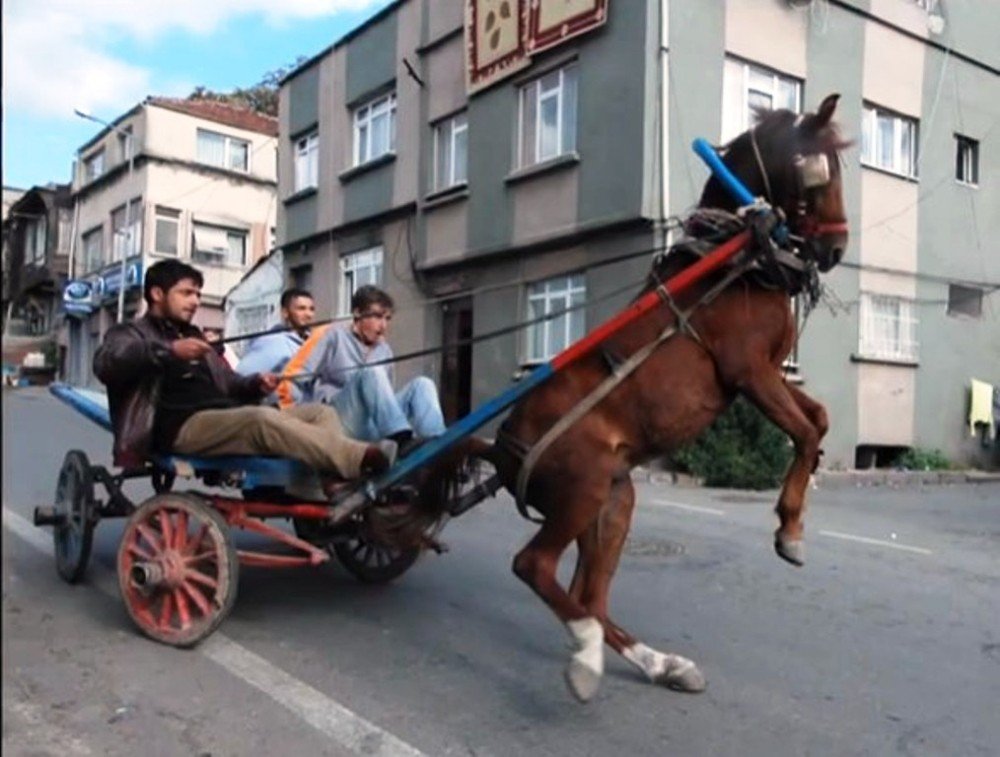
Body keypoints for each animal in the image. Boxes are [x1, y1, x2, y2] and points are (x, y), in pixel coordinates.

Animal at [418, 96, 848, 704]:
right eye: (816, 171)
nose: (835, 248)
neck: (729, 265)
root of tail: (500, 445)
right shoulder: (748, 373)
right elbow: (807, 431)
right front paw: (789, 533)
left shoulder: (768, 374)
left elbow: (820, 419)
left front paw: (794, 522)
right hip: (584, 487)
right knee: (533, 565)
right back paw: (586, 659)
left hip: (613, 502)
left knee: (589, 596)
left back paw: (659, 663)